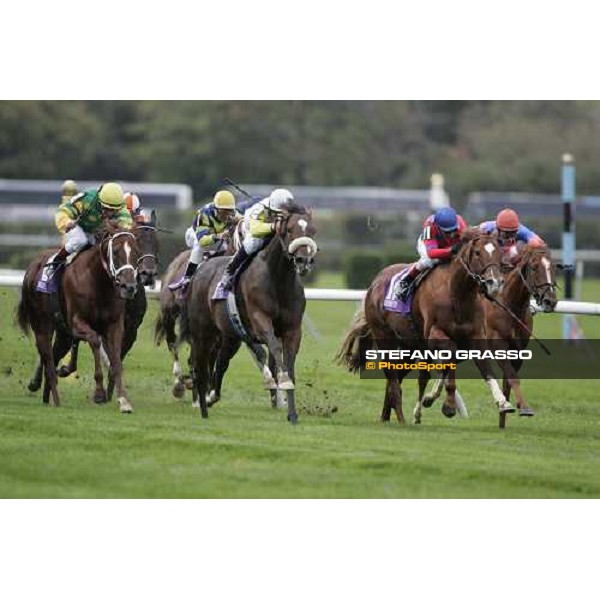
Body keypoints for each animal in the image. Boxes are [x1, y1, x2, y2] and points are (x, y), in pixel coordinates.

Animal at [17, 224, 139, 412]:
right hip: (42, 326)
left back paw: (47, 396)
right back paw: (55, 399)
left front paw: (124, 401)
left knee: (53, 356)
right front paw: (99, 393)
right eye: (116, 251)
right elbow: (95, 340)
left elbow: (116, 360)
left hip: (63, 334)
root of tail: (32, 267)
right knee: (48, 359)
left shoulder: (115, 325)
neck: (97, 281)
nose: (129, 287)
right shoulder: (76, 324)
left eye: (136, 252)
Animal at [179, 204, 316, 424]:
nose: (304, 260)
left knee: (221, 363)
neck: (278, 280)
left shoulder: (293, 330)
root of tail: (198, 272)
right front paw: (280, 381)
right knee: (199, 364)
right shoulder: (259, 322)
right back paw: (202, 407)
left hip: (230, 336)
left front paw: (292, 413)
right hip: (203, 332)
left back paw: (211, 397)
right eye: (289, 230)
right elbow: (274, 348)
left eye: (312, 231)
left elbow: (289, 364)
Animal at [338, 227, 510, 424]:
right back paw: (401, 418)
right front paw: (447, 405)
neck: (457, 295)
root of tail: (374, 283)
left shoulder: (475, 337)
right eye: (477, 252)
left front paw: (503, 402)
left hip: (409, 347)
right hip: (384, 337)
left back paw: (386, 415)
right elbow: (449, 358)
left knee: (397, 377)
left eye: (499, 252)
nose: (494, 283)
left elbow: (484, 369)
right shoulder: (435, 334)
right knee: (392, 378)